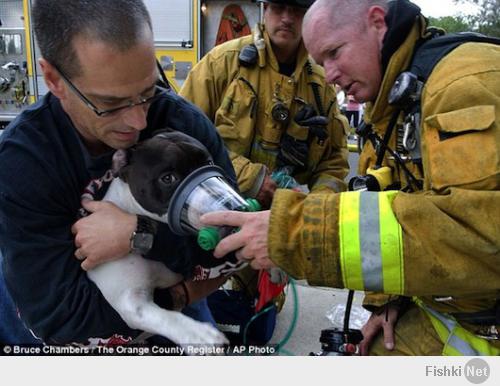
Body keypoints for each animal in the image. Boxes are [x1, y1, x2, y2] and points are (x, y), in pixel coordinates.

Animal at [85, 131, 229, 348]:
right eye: (168, 178)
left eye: (209, 163)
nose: (220, 196)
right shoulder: (132, 299)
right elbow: (168, 317)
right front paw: (198, 335)